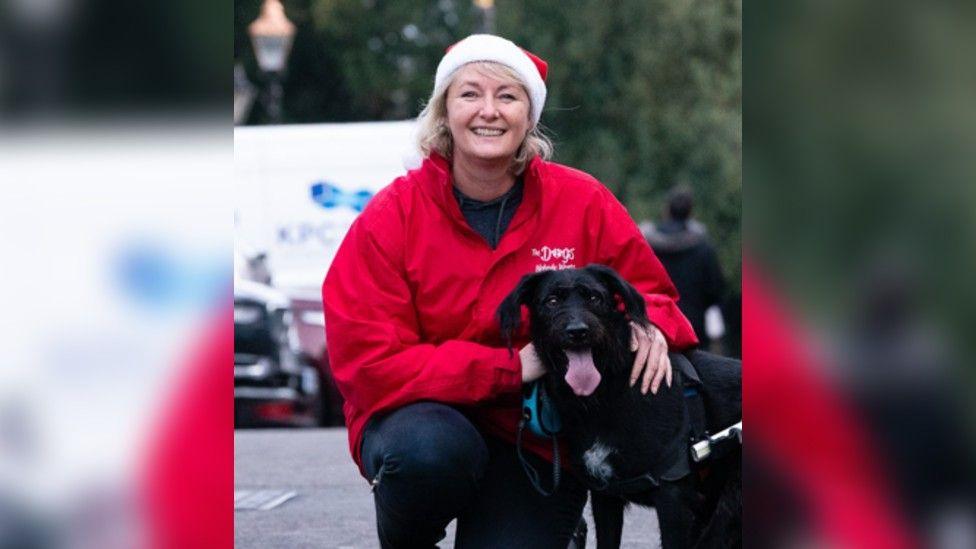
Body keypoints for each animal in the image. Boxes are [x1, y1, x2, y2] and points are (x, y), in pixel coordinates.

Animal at [496, 264, 740, 544]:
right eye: (552, 301)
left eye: (594, 298)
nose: (577, 331)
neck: (606, 390)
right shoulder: (605, 496)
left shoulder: (674, 500)